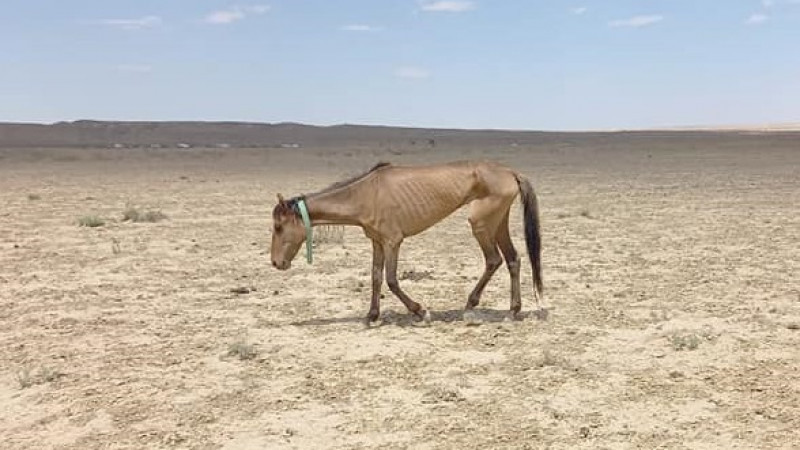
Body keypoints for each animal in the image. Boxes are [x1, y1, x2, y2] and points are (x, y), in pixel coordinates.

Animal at [270, 160, 544, 322]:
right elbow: (376, 277)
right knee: (513, 259)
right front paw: (372, 315)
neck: (365, 194)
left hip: (481, 224)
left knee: (494, 259)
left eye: (278, 227)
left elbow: (391, 280)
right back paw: (513, 309)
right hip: (497, 223)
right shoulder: (377, 242)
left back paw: (472, 304)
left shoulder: (393, 242)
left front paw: (420, 310)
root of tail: (511, 172)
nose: (276, 263)